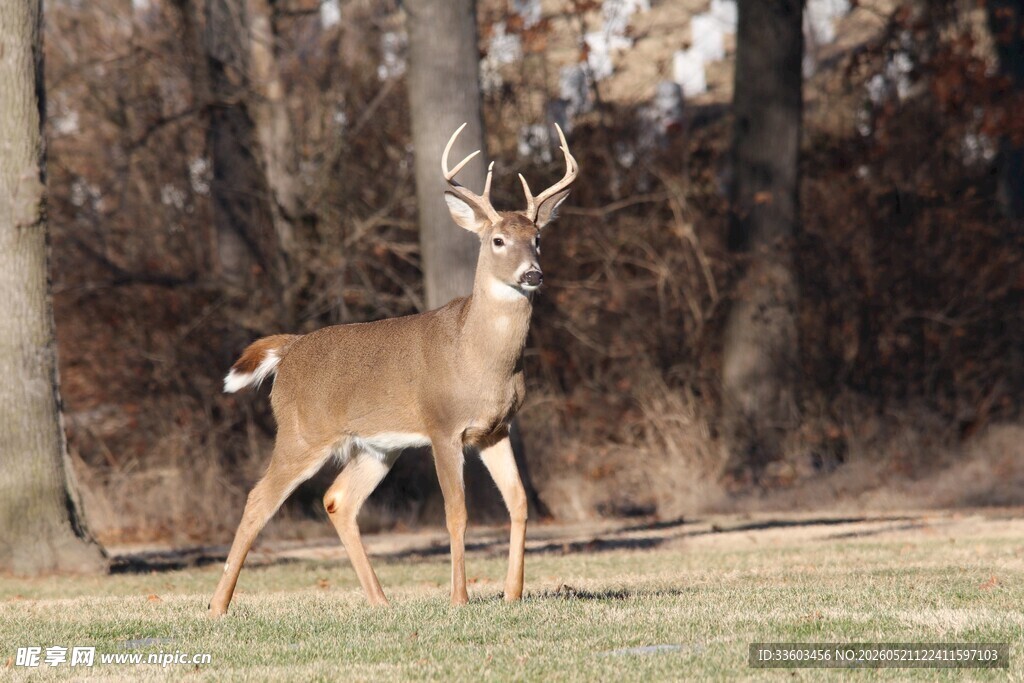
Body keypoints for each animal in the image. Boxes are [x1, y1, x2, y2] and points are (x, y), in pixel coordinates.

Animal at [208, 123, 577, 616]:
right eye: (497, 240)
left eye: (538, 238)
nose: (533, 274)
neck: (481, 360)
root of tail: (289, 350)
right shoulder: (443, 426)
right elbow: (456, 512)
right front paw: (459, 598)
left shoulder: (496, 429)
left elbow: (518, 502)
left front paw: (512, 593)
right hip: (301, 433)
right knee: (258, 499)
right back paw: (218, 606)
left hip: (377, 447)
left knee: (338, 499)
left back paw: (380, 601)